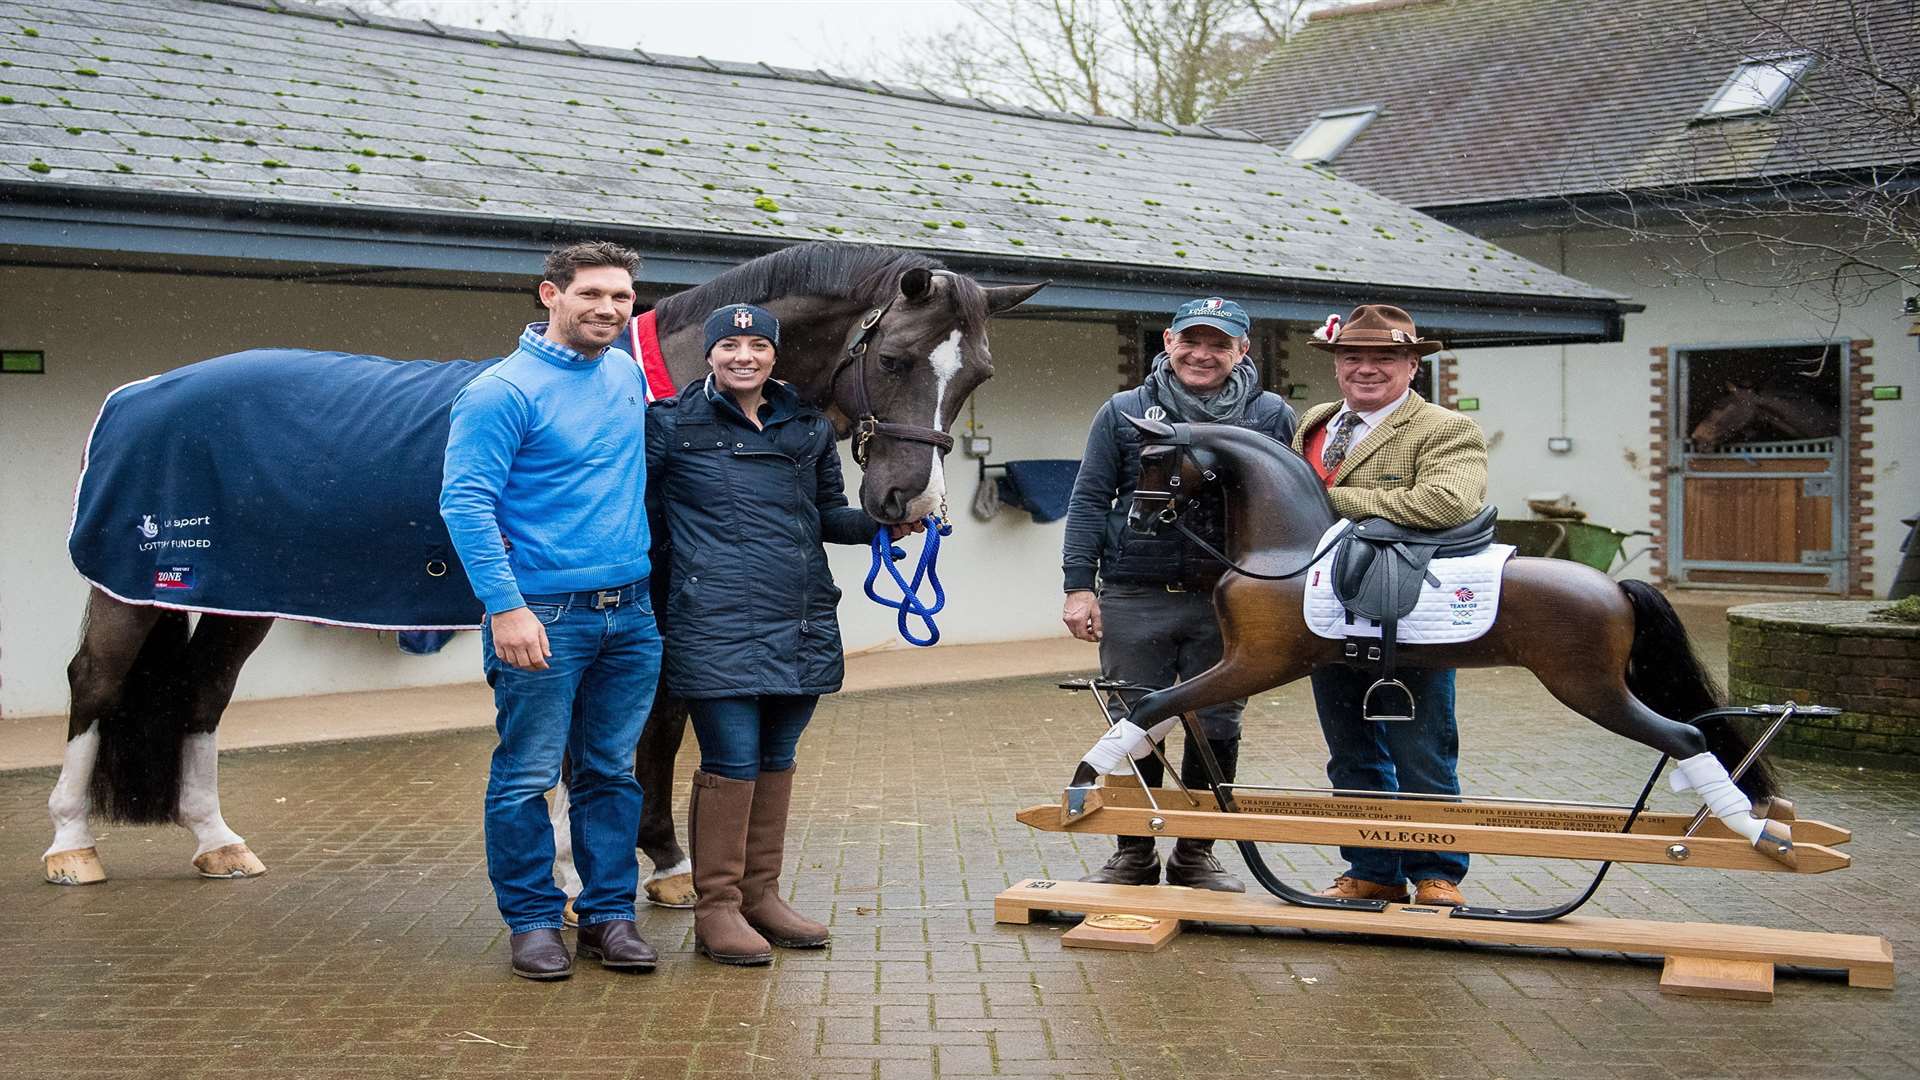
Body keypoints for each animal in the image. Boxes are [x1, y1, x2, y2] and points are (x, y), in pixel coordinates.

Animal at [1067, 417, 1797, 860]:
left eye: (1158, 461)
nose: (1138, 519)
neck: (1288, 550)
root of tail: (1616, 589)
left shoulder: (1257, 662)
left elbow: (1151, 705)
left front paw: (1082, 783)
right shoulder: (1241, 665)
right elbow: (1158, 709)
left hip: (1589, 688)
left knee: (1688, 737)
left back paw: (1755, 829)